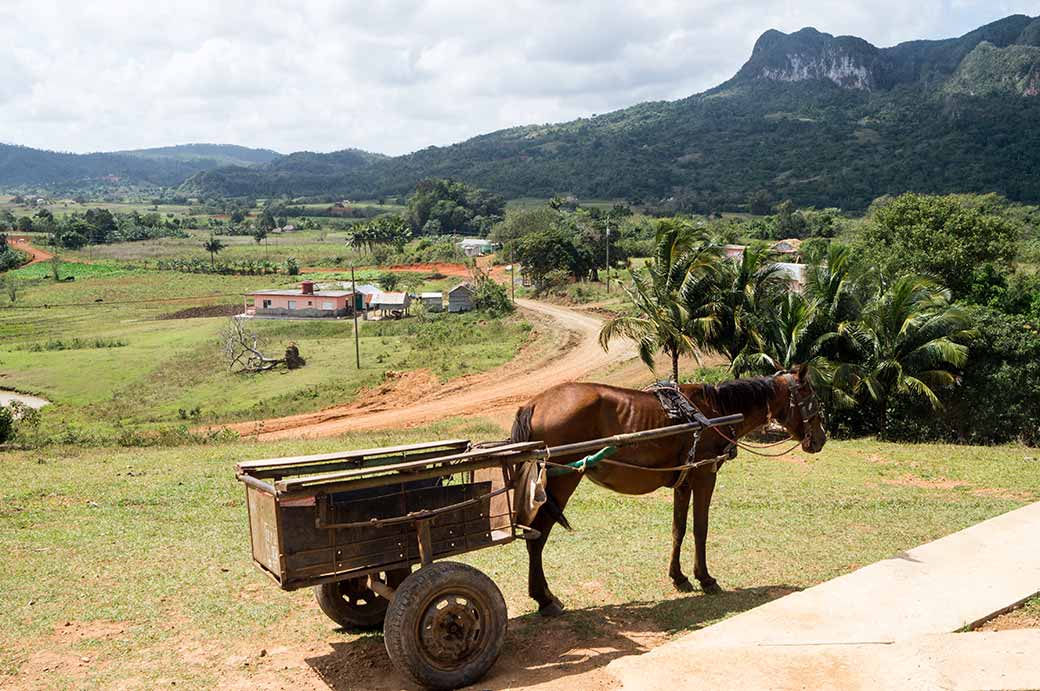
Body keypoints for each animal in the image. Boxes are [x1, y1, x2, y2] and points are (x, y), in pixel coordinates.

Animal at [507, 364, 823, 616]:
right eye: (812, 400)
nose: (820, 440)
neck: (716, 412)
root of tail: (535, 403)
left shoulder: (683, 482)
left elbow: (678, 528)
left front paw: (679, 577)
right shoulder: (705, 475)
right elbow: (700, 528)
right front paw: (705, 578)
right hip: (561, 481)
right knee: (538, 536)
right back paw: (545, 599)